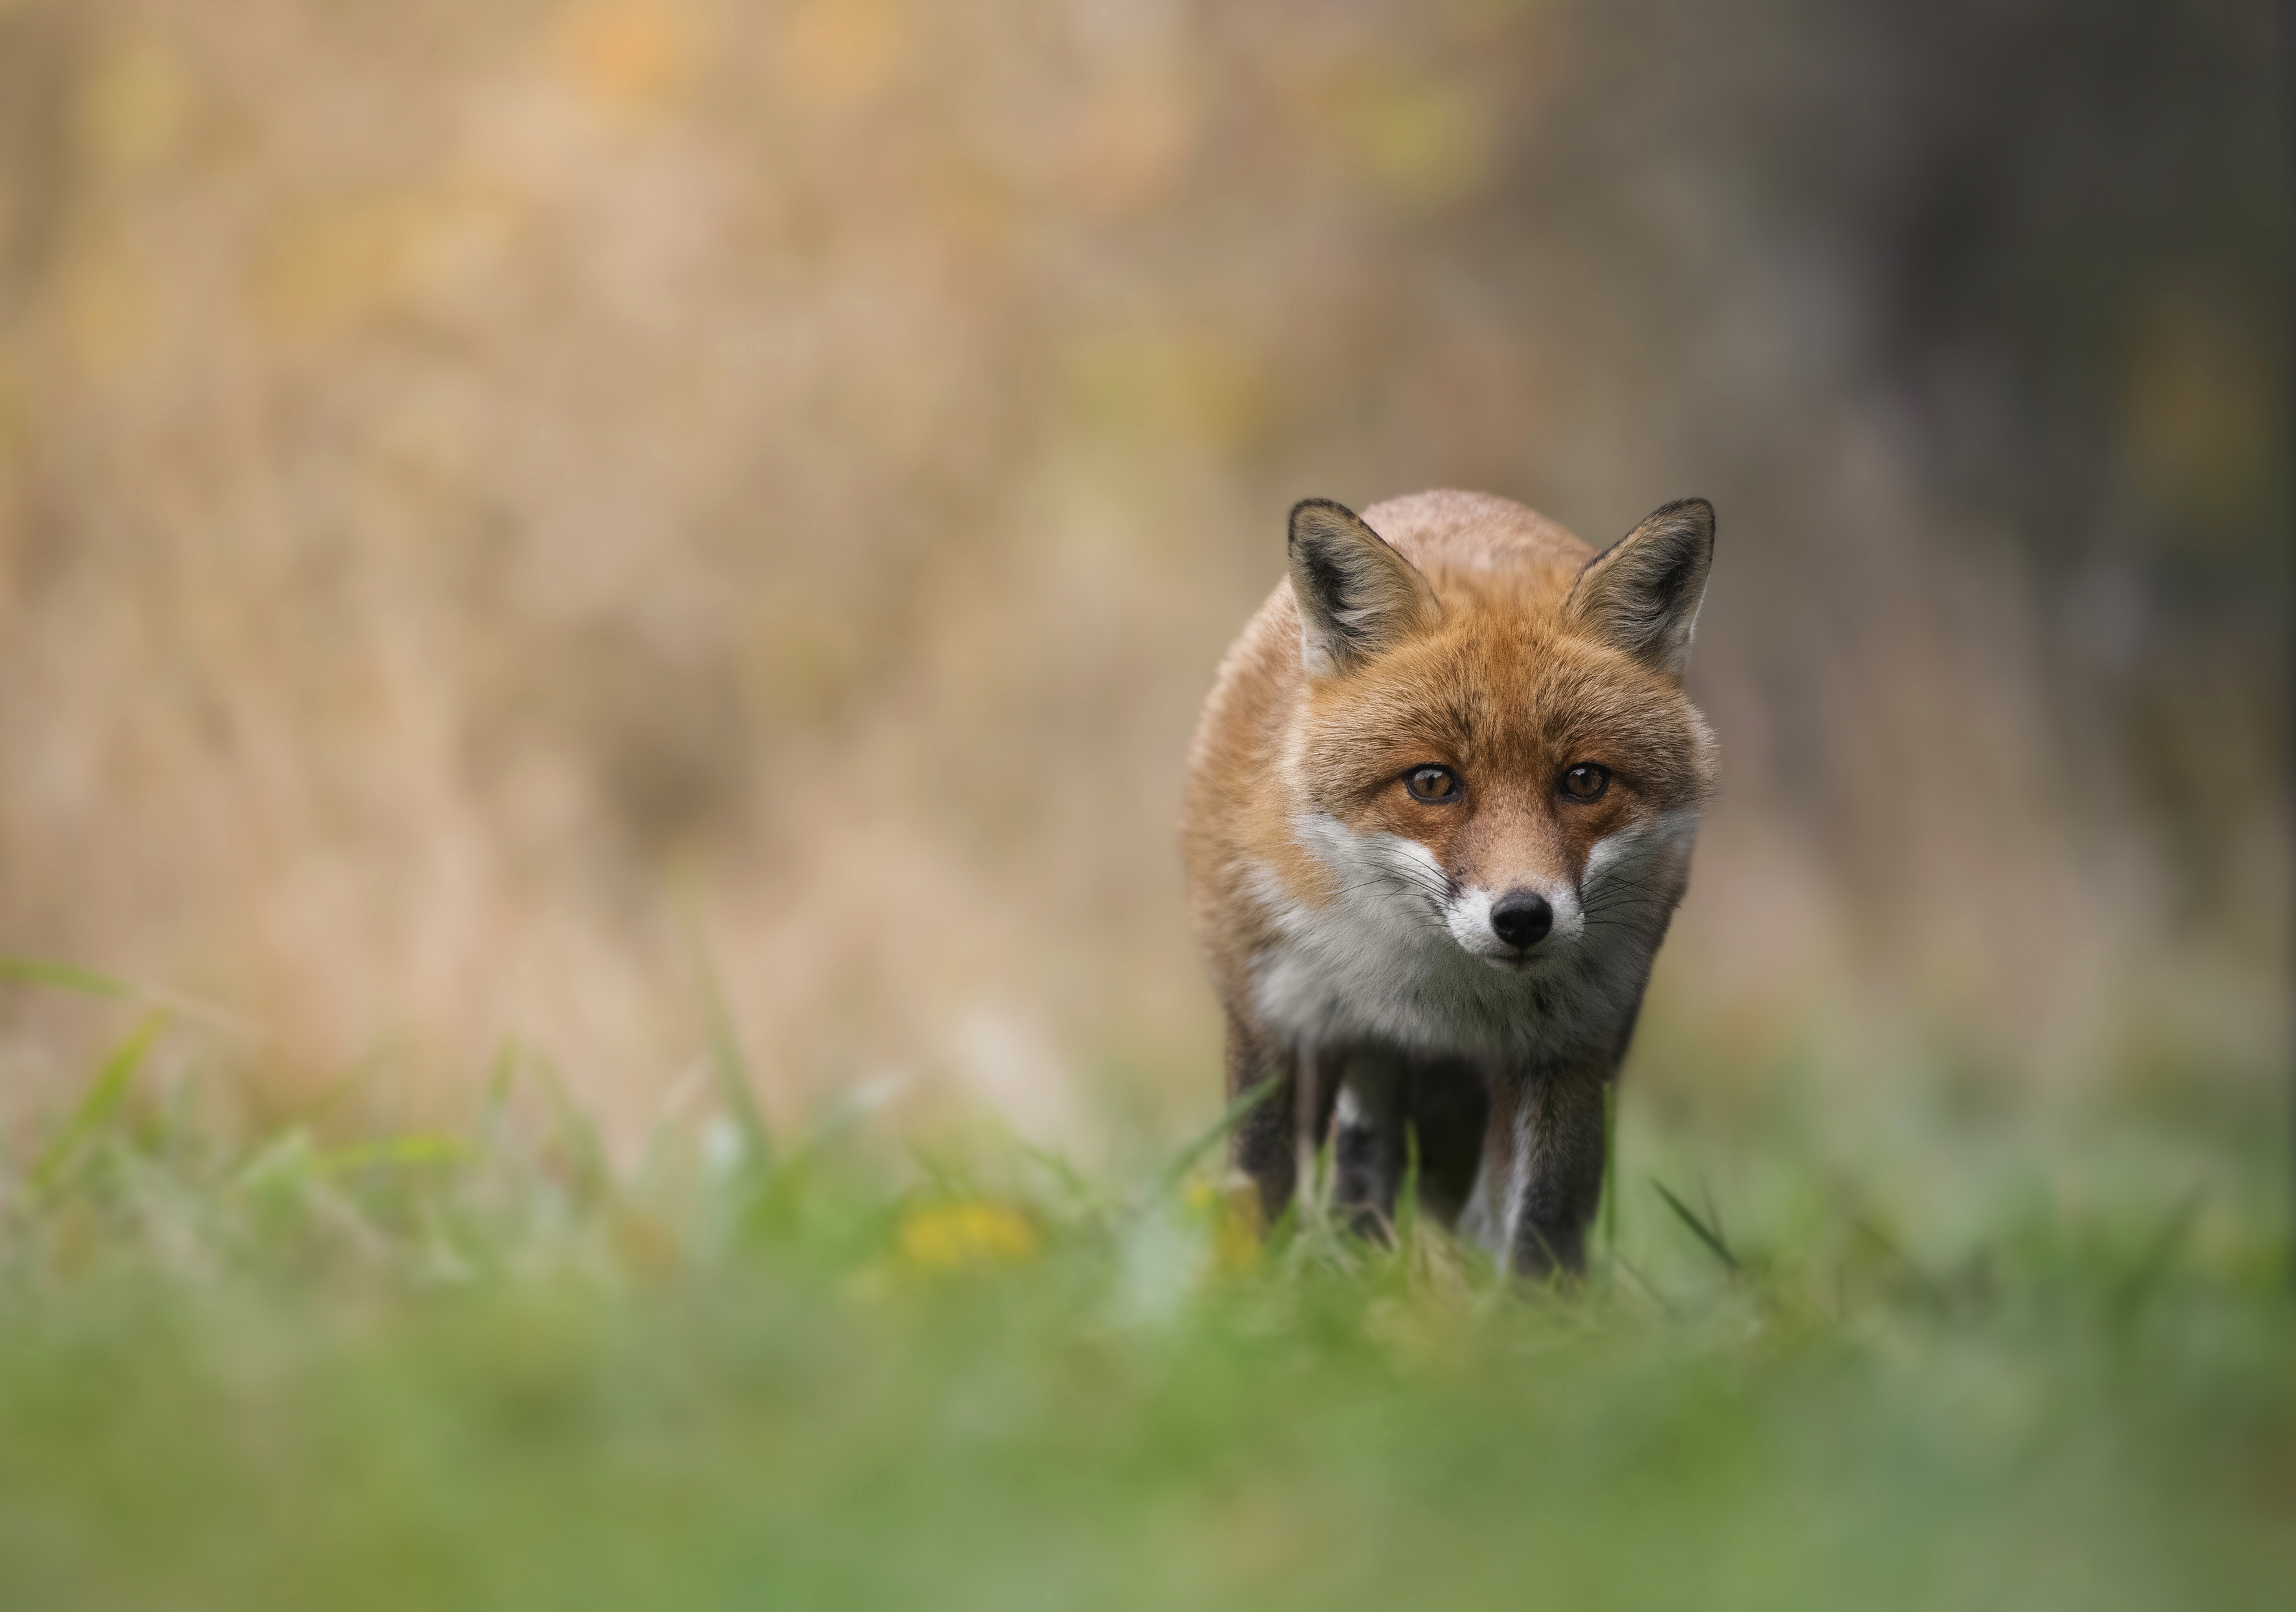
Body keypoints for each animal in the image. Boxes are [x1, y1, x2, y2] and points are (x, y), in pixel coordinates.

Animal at [1194, 489, 1717, 1276]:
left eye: (1584, 780)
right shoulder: (1274, 1014)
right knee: (1363, 1170)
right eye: (1433, 782)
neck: (1438, 994)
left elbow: (1540, 1223)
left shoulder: (1568, 1043)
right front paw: (1250, 1296)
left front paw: (1531, 1310)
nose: (1523, 917)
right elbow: (1260, 1186)